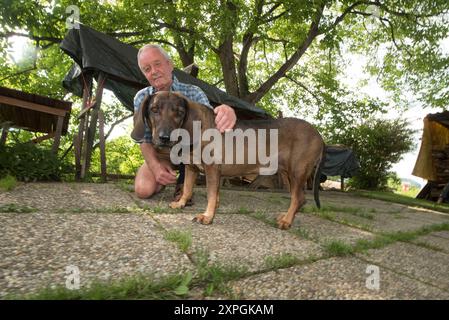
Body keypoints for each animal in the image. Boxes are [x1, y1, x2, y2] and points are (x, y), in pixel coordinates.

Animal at [131, 91, 324, 229]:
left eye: (179, 113)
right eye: (154, 110)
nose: (164, 138)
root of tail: (320, 137)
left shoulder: (211, 169)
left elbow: (210, 194)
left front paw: (207, 216)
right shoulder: (192, 168)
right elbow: (187, 189)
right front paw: (181, 204)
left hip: (297, 172)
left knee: (299, 198)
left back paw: (286, 221)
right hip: (288, 173)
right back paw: (285, 216)